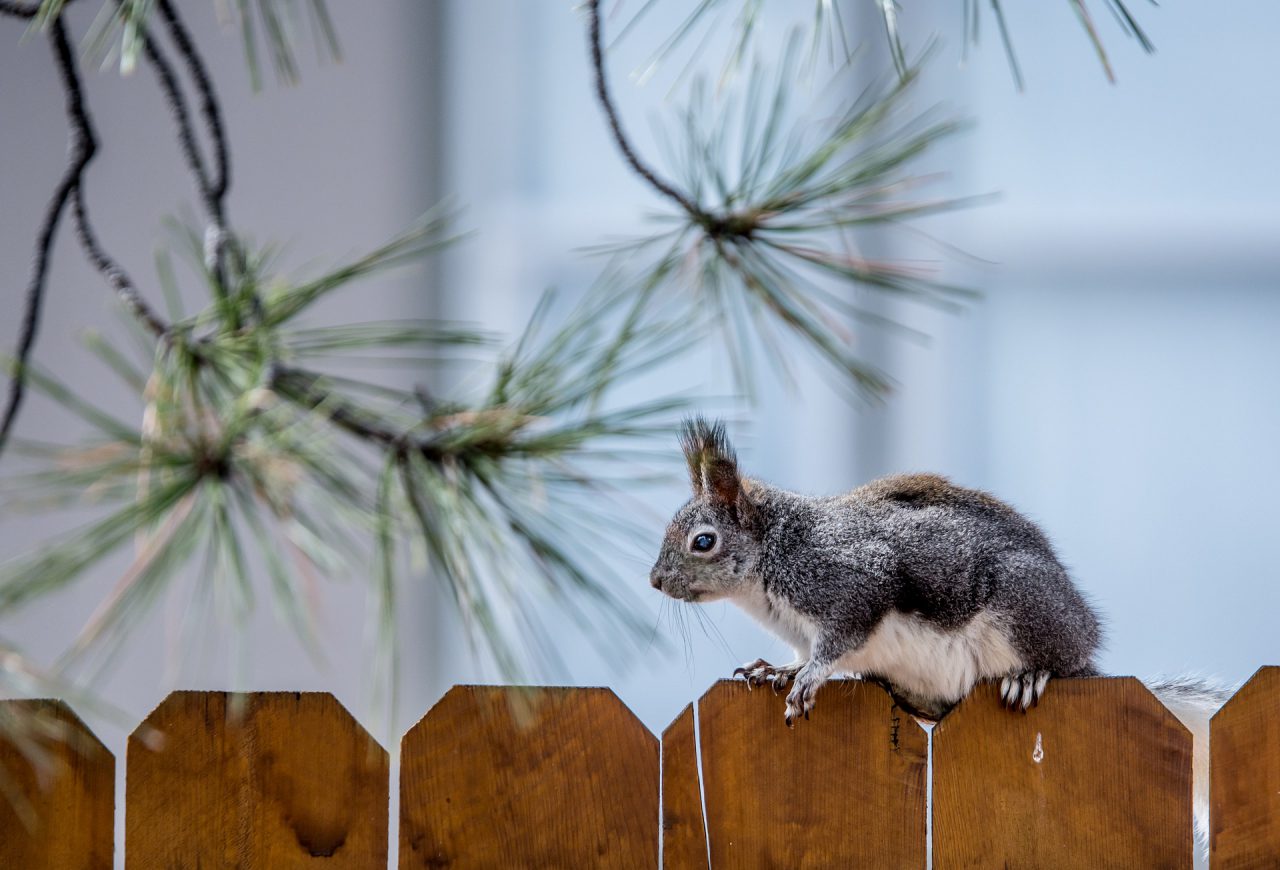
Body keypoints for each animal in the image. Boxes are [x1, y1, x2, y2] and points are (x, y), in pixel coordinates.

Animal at [650, 414, 1228, 844]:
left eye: (704, 541)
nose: (655, 581)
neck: (774, 557)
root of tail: (1085, 654)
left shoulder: (850, 584)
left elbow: (838, 642)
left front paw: (808, 679)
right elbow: (803, 653)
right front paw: (777, 669)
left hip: (1024, 608)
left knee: (1054, 662)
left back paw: (1030, 675)